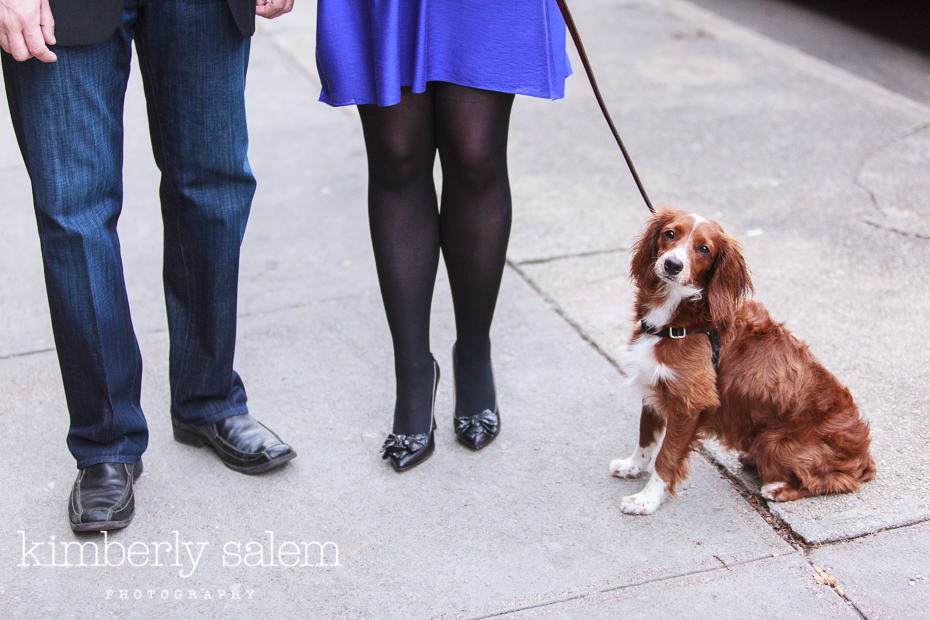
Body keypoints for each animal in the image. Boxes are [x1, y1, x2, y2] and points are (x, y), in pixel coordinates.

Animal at [608, 208, 872, 512]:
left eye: (704, 249)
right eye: (670, 233)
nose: (673, 265)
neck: (681, 317)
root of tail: (865, 455)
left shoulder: (689, 404)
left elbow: (666, 456)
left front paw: (647, 500)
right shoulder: (653, 383)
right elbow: (646, 438)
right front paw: (631, 467)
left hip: (775, 440)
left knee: (839, 480)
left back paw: (778, 488)